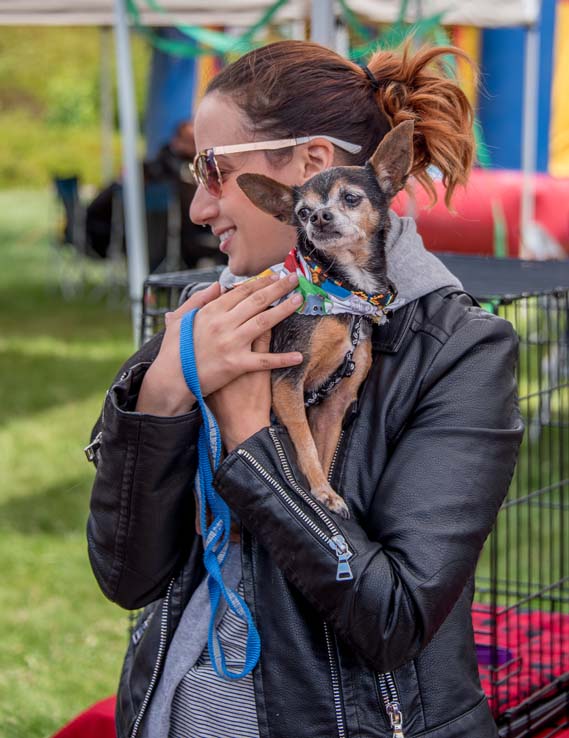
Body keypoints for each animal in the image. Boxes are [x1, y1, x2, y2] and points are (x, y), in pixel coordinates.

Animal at [235, 121, 412, 516]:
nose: (318, 217)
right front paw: (321, 491)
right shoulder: (287, 383)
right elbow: (305, 444)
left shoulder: (335, 401)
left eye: (351, 198)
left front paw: (326, 489)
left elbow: (324, 448)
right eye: (302, 213)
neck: (344, 293)